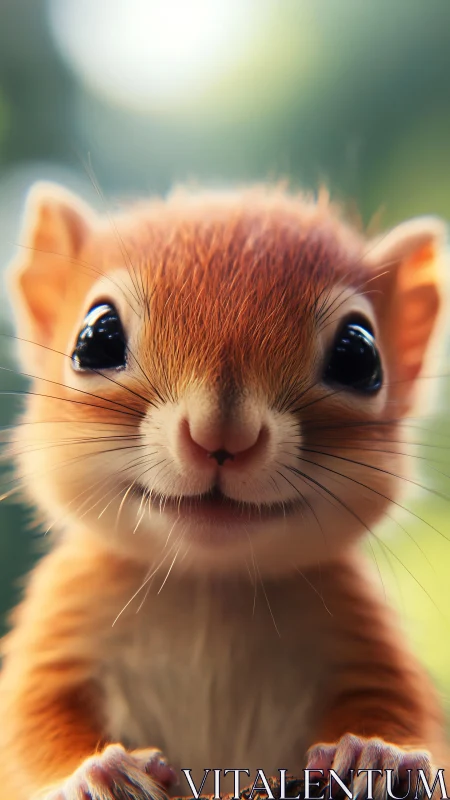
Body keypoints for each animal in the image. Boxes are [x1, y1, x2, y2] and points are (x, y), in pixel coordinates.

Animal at [0, 183, 447, 800]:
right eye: (95, 339)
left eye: (359, 357)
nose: (222, 434)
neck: (210, 584)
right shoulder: (55, 642)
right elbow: (28, 730)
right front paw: (91, 772)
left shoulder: (369, 646)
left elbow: (407, 710)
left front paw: (380, 754)